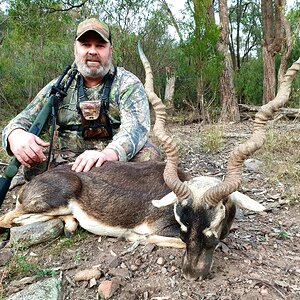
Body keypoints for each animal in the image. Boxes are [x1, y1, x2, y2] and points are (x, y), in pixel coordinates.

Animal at [0, 43, 300, 280]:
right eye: (183, 228)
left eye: (212, 229)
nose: (191, 275)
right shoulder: (159, 228)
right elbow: (146, 236)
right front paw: (133, 237)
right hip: (51, 199)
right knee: (9, 219)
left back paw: (71, 224)